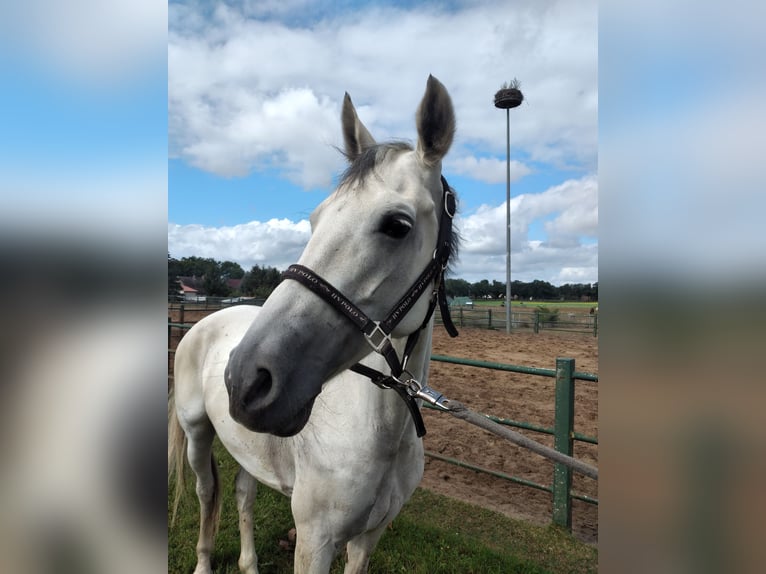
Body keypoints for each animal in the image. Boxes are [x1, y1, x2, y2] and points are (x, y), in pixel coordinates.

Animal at [170, 76, 456, 574]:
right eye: (315, 219)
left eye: (397, 225)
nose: (246, 380)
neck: (381, 434)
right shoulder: (315, 541)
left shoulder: (366, 540)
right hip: (197, 434)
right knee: (207, 494)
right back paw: (204, 562)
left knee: (242, 493)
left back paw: (248, 563)